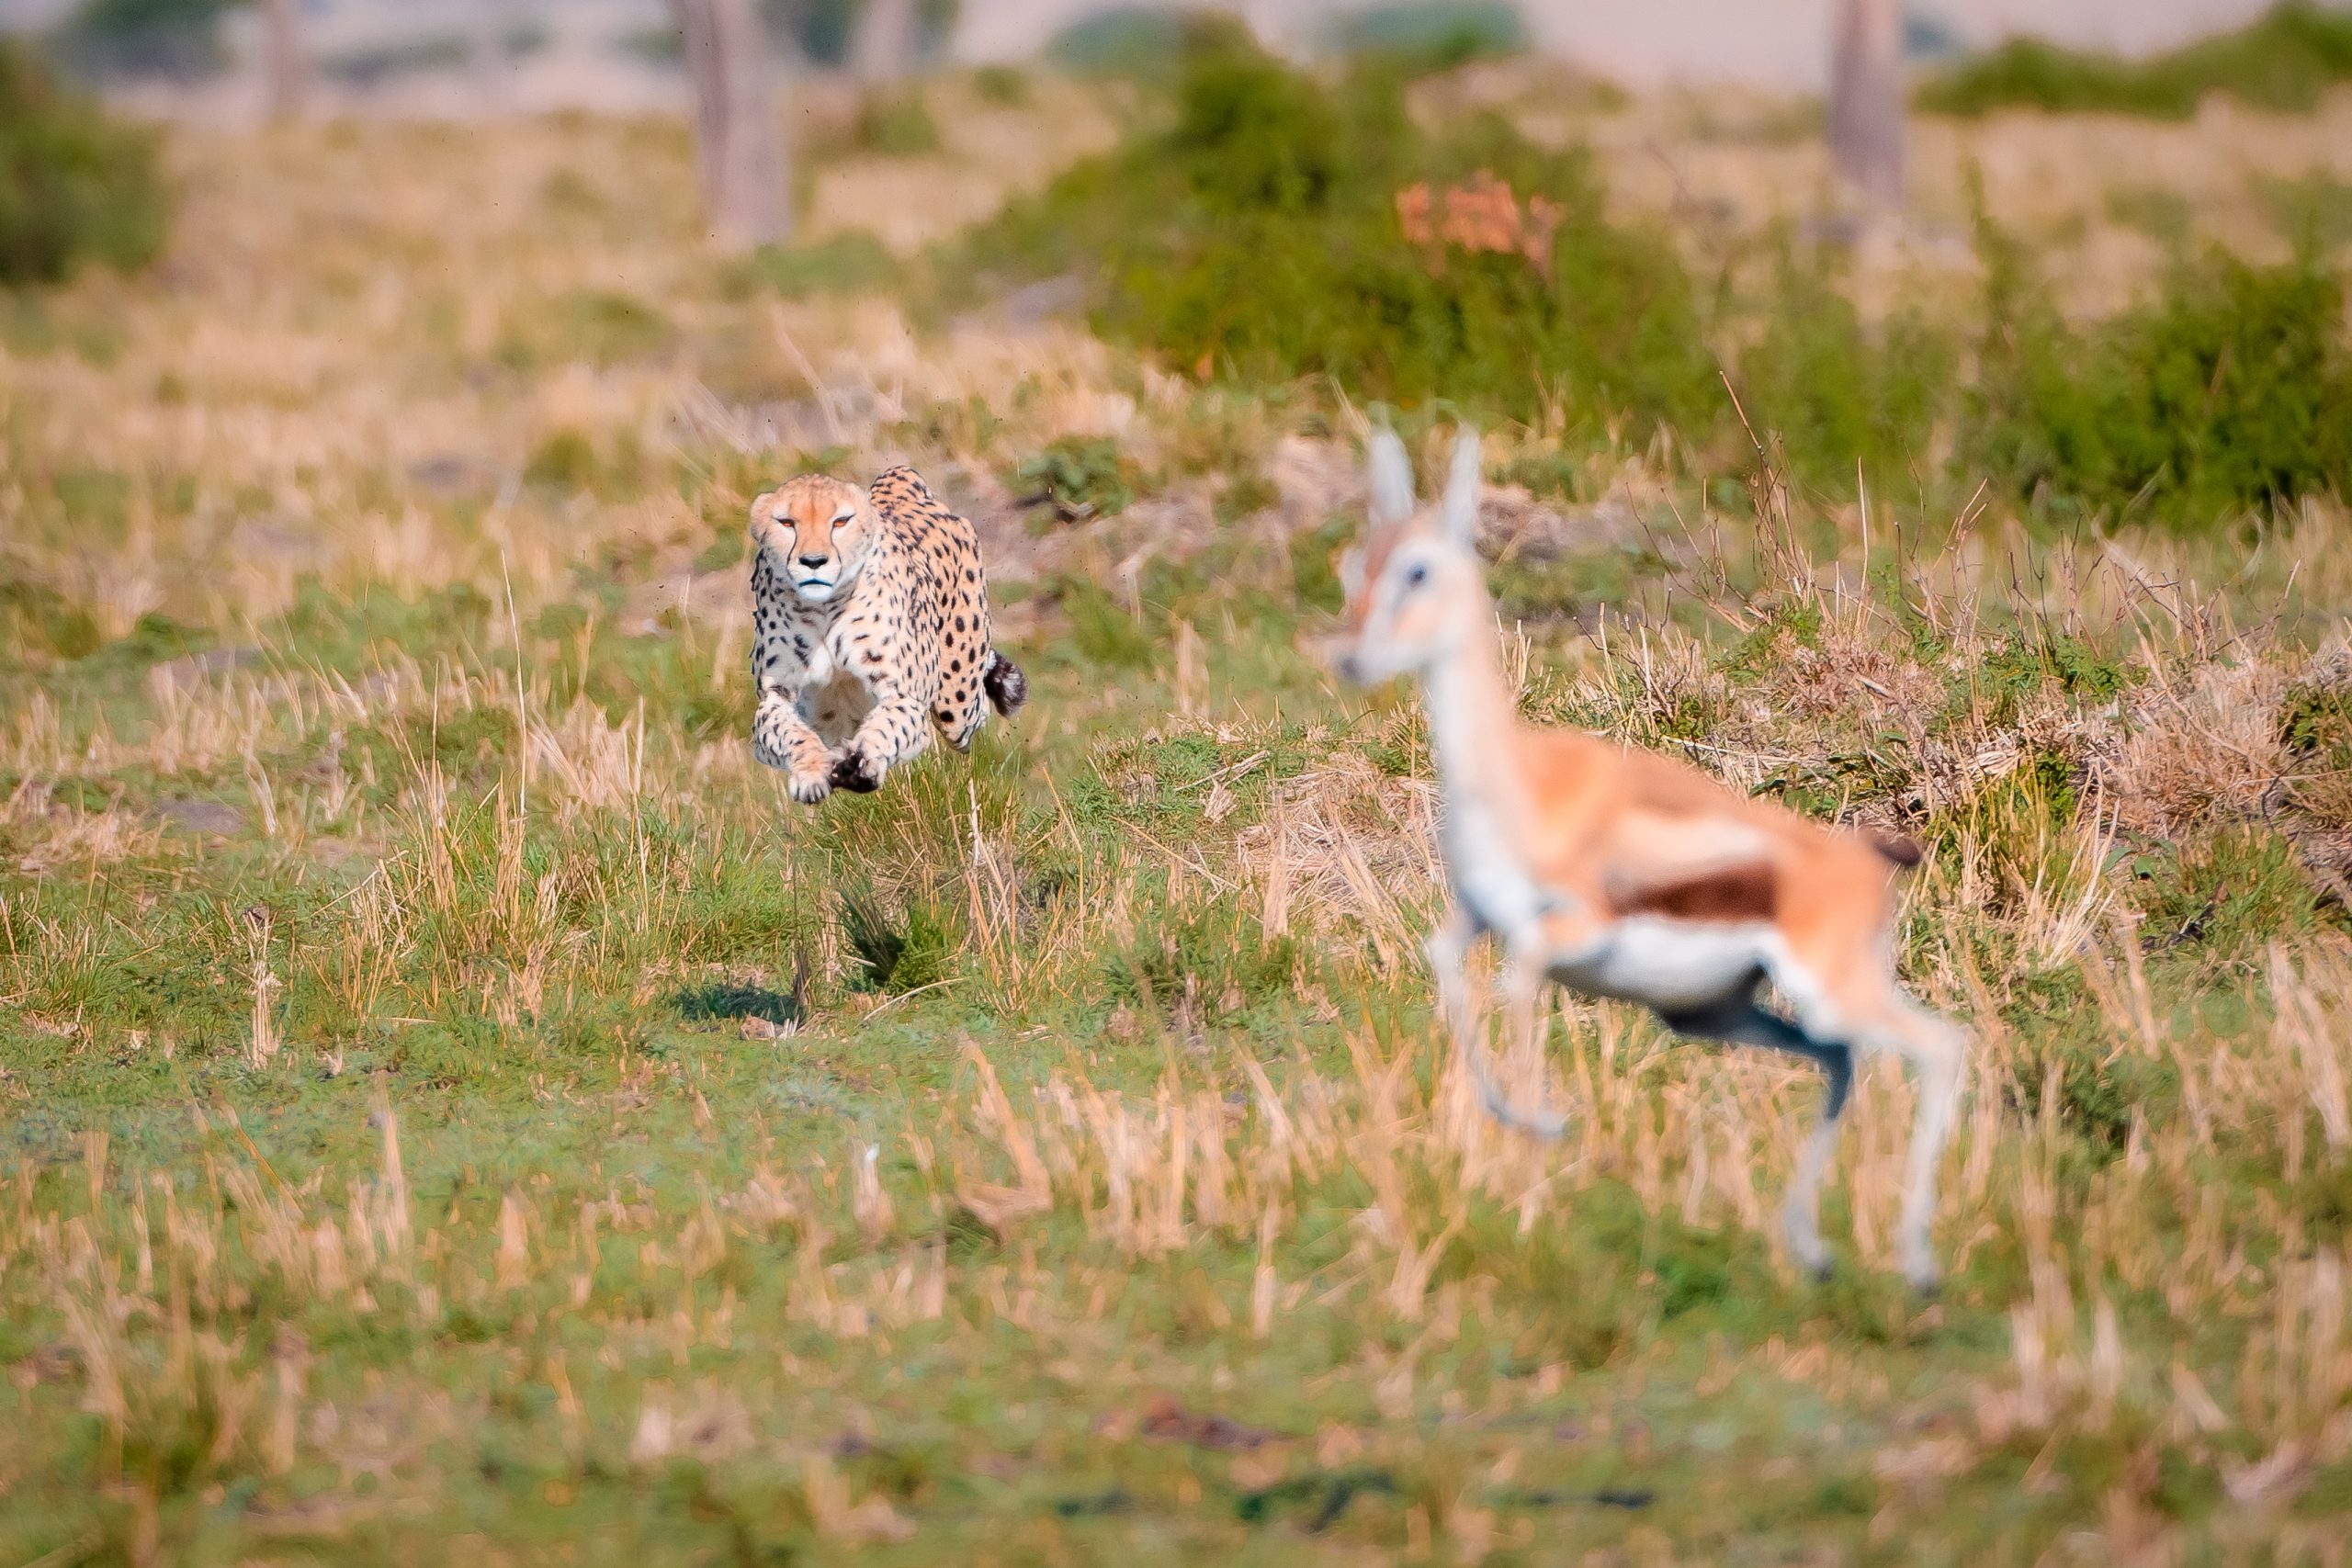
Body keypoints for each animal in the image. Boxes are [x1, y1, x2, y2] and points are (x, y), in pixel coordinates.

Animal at [742, 463, 1021, 808]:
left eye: (841, 521)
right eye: (786, 522)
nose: (813, 561)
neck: (824, 608)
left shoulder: (903, 694)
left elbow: (887, 725)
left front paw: (864, 762)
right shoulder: (775, 696)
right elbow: (787, 732)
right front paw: (811, 772)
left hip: (956, 704)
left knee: (975, 709)